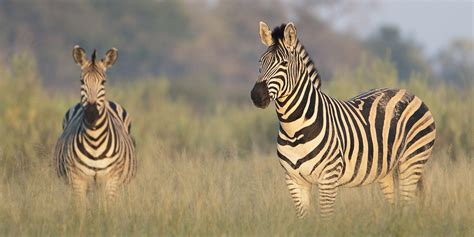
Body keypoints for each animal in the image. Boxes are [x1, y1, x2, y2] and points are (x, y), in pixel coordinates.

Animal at [55, 45, 138, 203]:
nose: (91, 113)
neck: (94, 140)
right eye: (82, 81)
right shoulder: (77, 180)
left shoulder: (112, 180)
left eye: (103, 82)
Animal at [252, 22, 436, 218]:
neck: (294, 129)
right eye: (260, 63)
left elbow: (326, 216)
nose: (256, 96)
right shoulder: (293, 179)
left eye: (284, 64)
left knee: (407, 203)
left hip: (411, 161)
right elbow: (304, 217)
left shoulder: (328, 176)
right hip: (387, 170)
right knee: (396, 206)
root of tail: (406, 92)